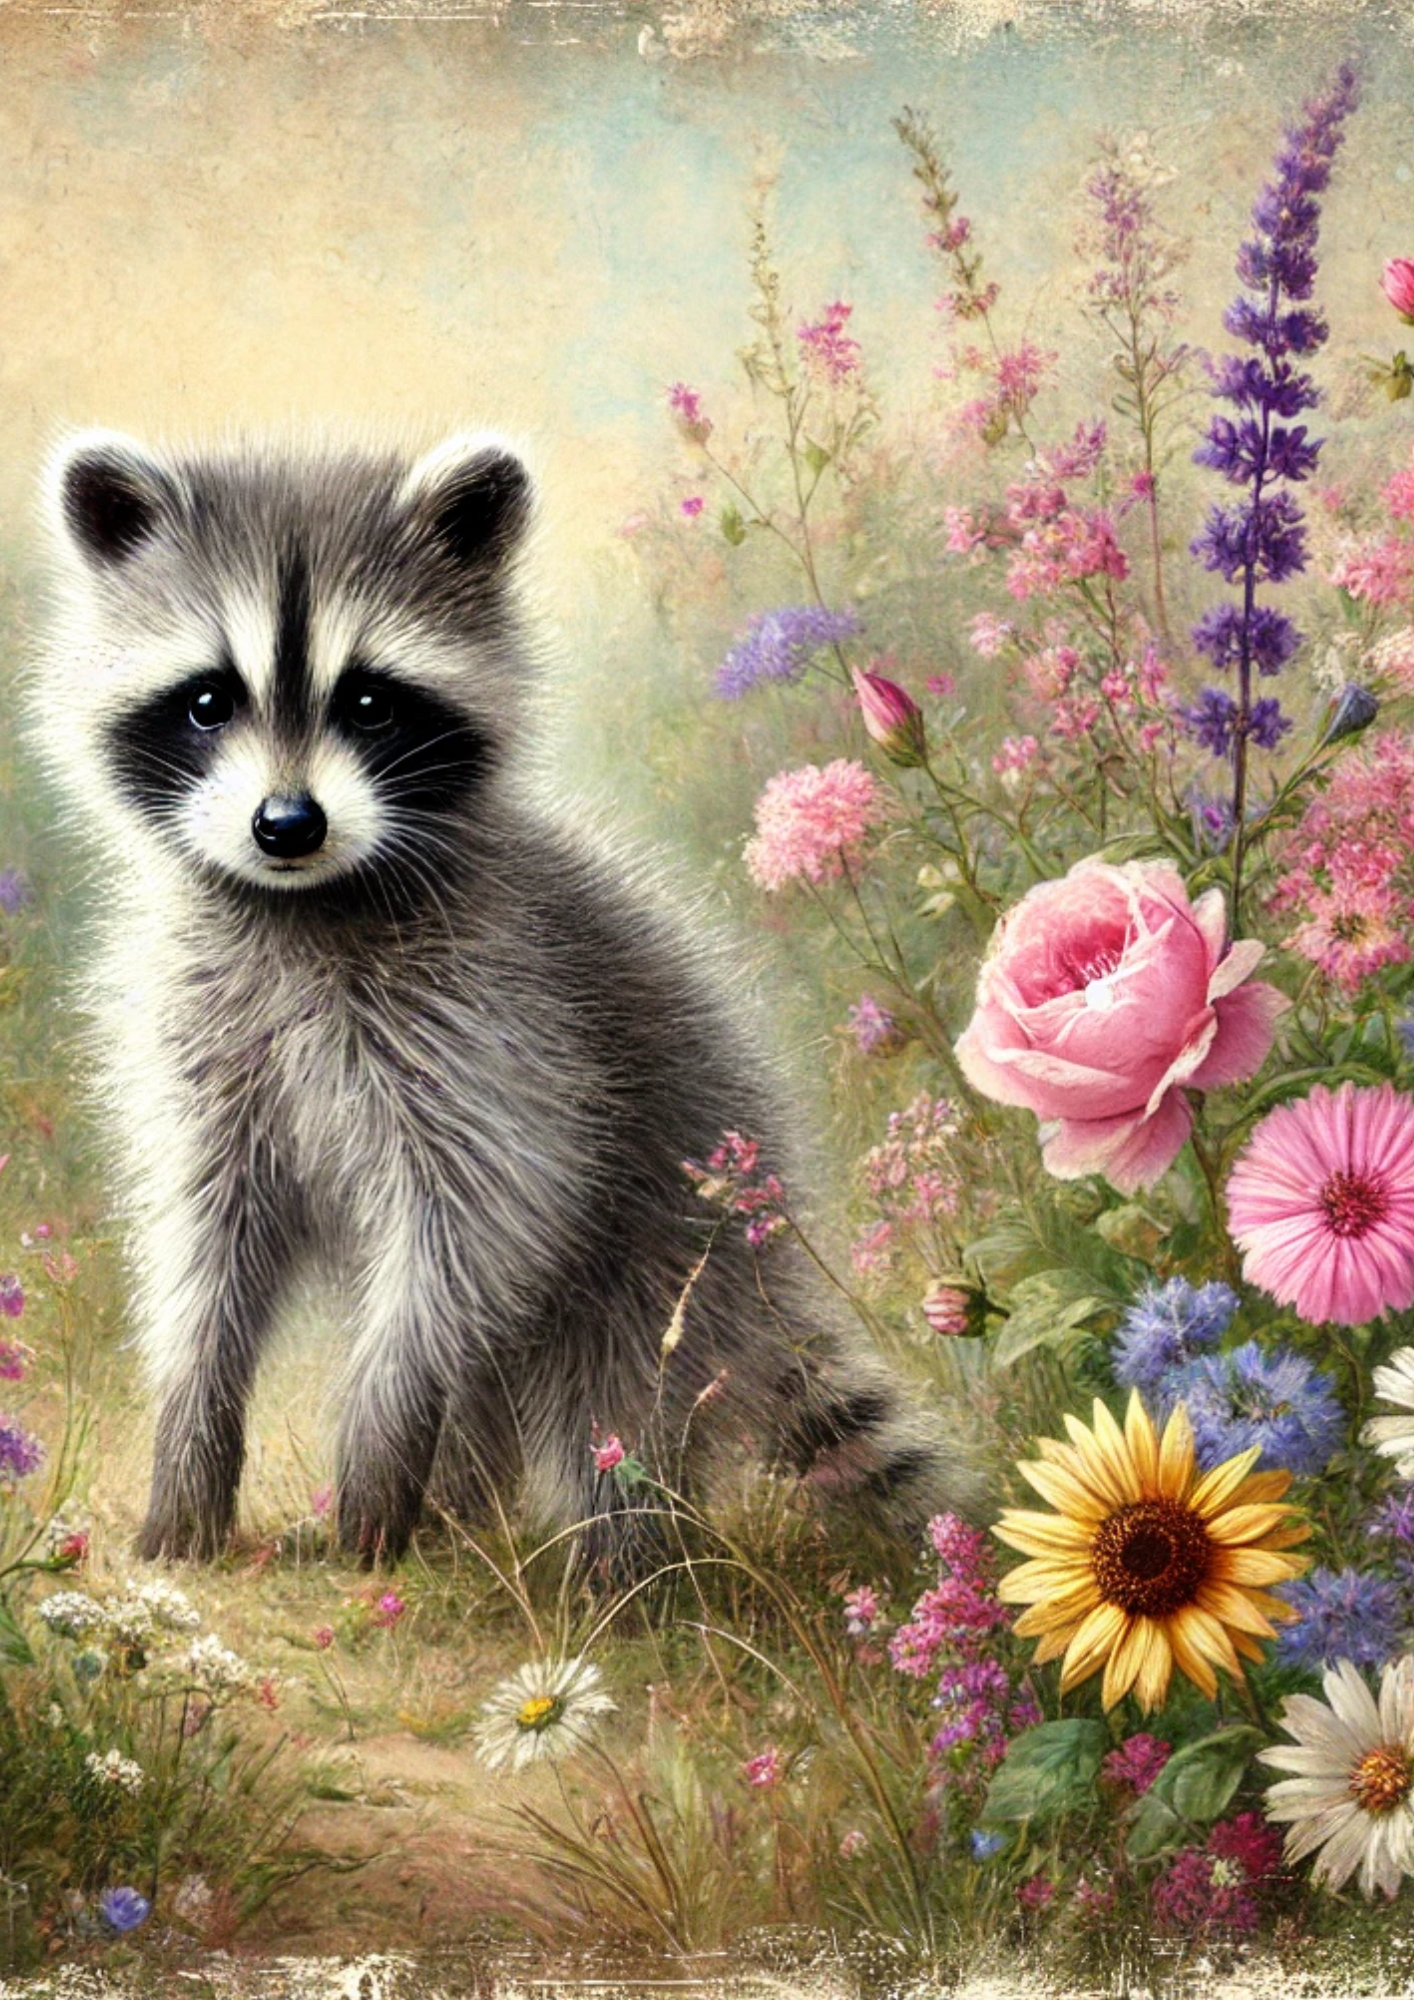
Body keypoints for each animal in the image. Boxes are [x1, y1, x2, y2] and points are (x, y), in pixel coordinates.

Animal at [32, 427, 982, 1566]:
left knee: (613, 1410)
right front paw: (190, 1438)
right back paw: (464, 1512)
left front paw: (379, 1430)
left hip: (667, 1244)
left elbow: (469, 1226)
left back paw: (619, 1570)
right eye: (209, 699)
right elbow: (206, 1242)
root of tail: (767, 1267)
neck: (305, 902)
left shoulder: (497, 1021)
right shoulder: (204, 1036)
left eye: (369, 700)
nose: (286, 824)